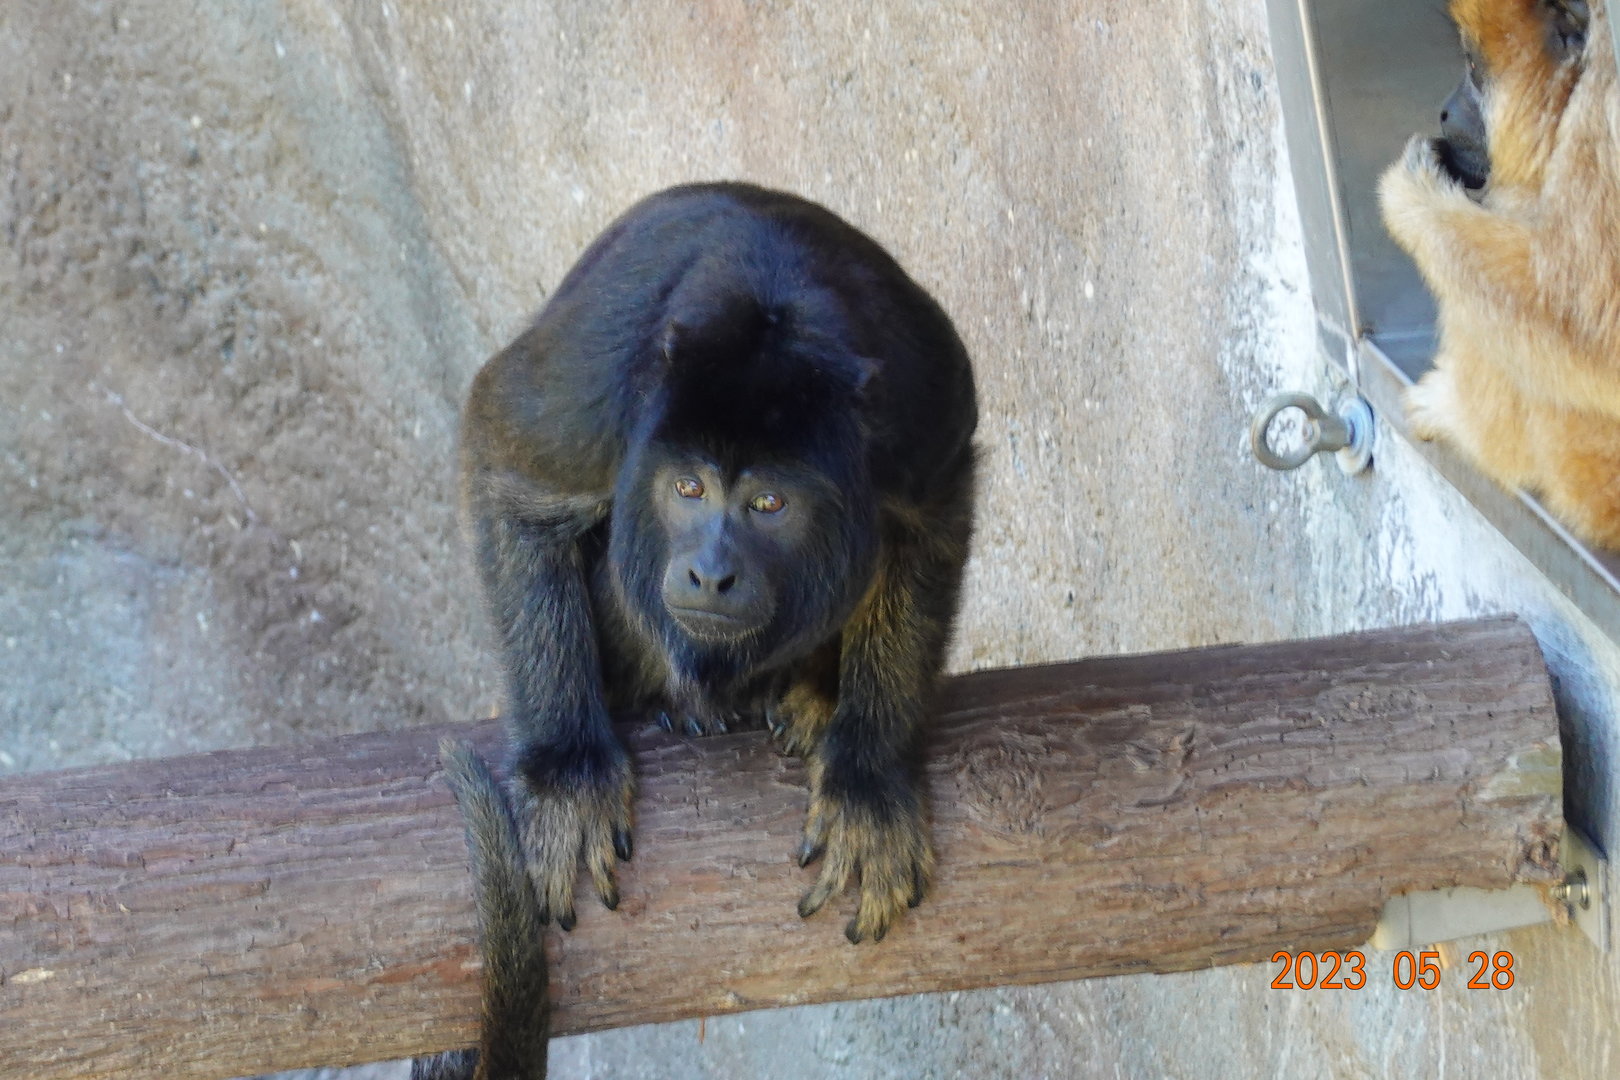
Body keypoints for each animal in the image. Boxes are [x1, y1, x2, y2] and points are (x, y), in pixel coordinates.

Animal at [459, 182, 978, 947]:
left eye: (768, 502)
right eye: (689, 489)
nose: (711, 573)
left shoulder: (921, 406)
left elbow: (932, 523)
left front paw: (869, 782)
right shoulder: (598, 379)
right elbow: (511, 472)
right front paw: (566, 772)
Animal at [1380, 0, 1620, 547]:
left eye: (1472, 67)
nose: (1445, 110)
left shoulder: (1606, 103)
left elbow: (1588, 330)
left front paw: (1410, 195)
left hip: (1588, 466)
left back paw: (1471, 430)